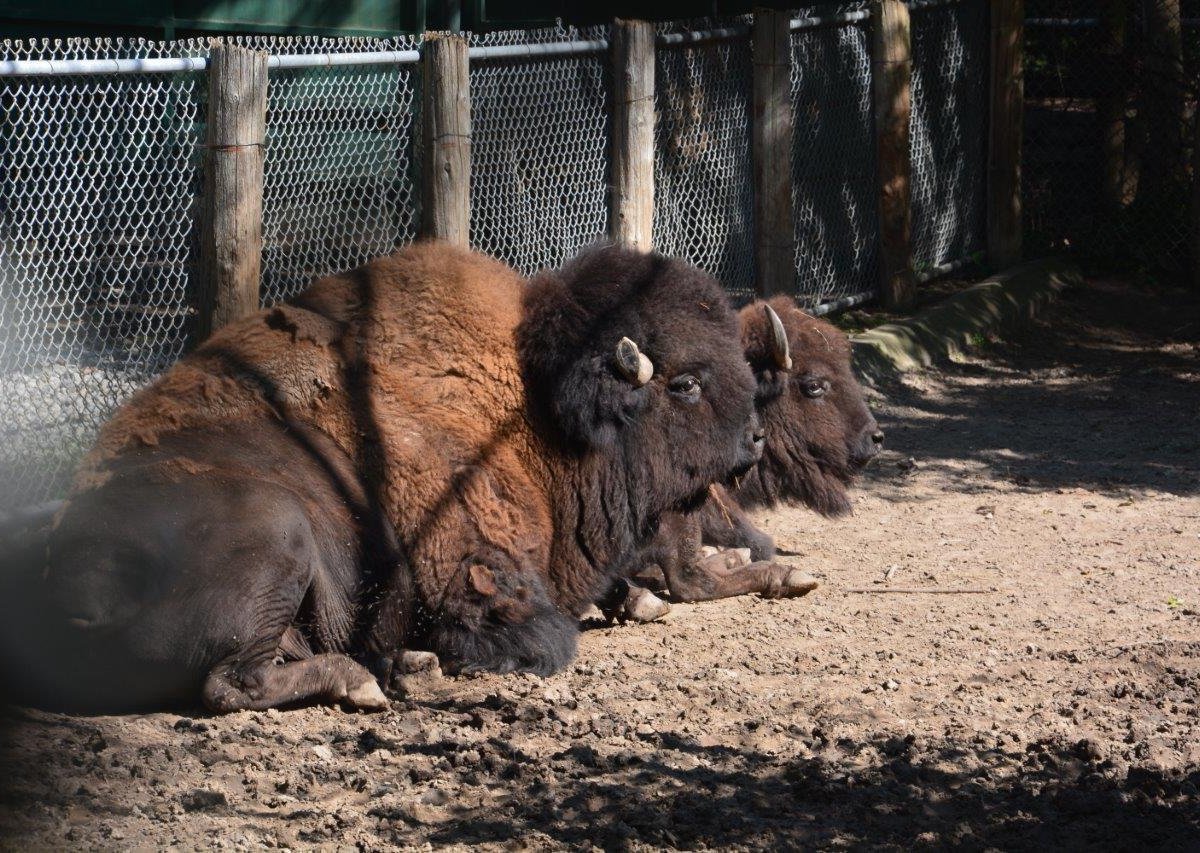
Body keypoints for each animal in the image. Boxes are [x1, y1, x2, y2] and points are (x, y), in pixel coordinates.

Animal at [21, 242, 758, 715]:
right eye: (686, 384)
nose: (754, 436)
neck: (534, 401)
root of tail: (69, 586)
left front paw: (645, 597)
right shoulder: (475, 570)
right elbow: (536, 630)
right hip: (281, 530)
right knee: (230, 682)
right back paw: (366, 679)